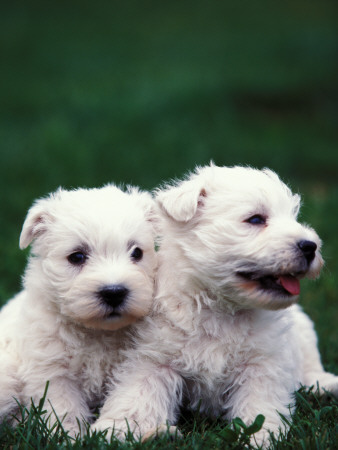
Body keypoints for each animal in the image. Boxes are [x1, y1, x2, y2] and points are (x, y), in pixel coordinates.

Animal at [0, 184, 158, 436]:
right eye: (77, 257)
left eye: (137, 253)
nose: (114, 292)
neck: (98, 332)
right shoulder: (51, 370)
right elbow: (62, 407)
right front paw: (70, 436)